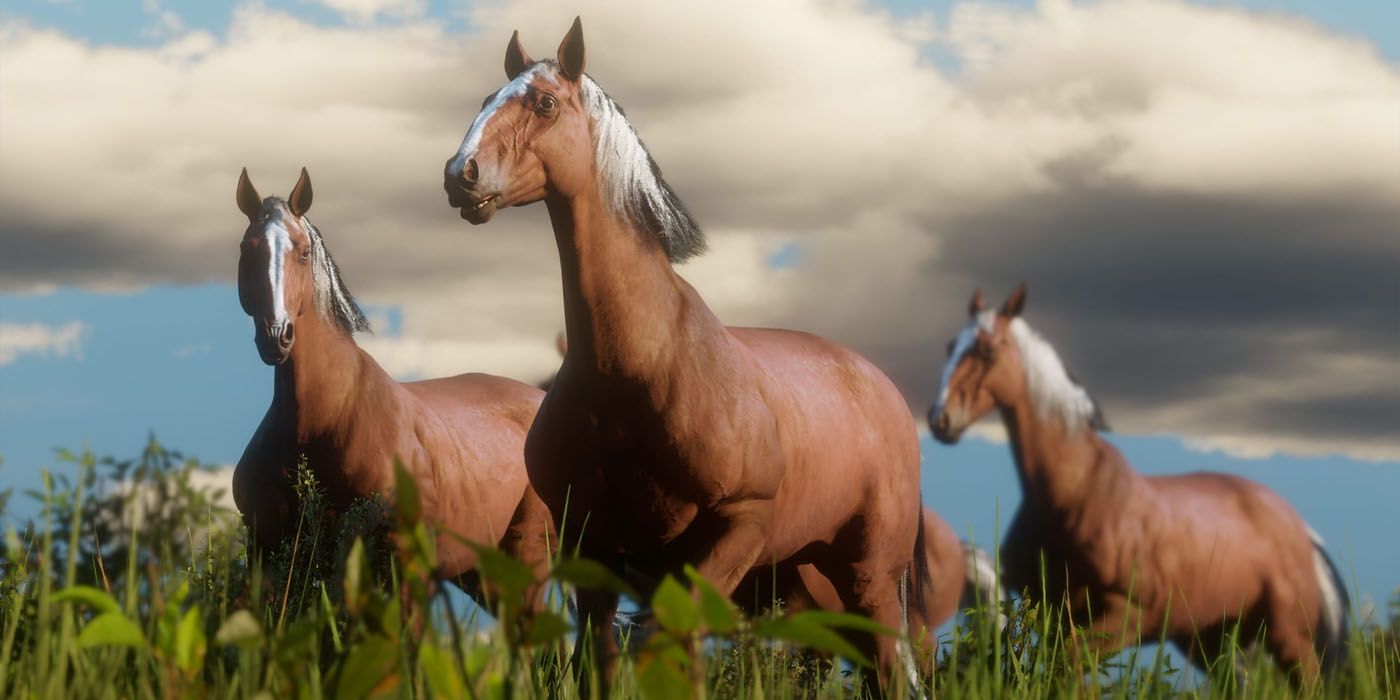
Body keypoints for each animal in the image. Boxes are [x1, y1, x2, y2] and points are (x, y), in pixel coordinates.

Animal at [232, 167, 554, 607]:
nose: (276, 336)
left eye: (303, 252)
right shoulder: (269, 552)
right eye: (246, 248)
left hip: (527, 560)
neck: (321, 421)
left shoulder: (402, 563)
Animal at [441, 18, 927, 690]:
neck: (637, 367)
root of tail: (881, 388)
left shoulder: (736, 527)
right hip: (798, 576)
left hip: (867, 577)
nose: (460, 174)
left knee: (886, 664)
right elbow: (602, 660)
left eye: (544, 103)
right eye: (490, 97)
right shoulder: (595, 549)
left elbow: (669, 644)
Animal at [926, 284, 1350, 680]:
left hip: (1289, 638)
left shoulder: (1125, 618)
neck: (1071, 494)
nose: (939, 419)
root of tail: (1304, 536)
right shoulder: (1055, 619)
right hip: (1208, 641)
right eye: (949, 346)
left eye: (986, 350)